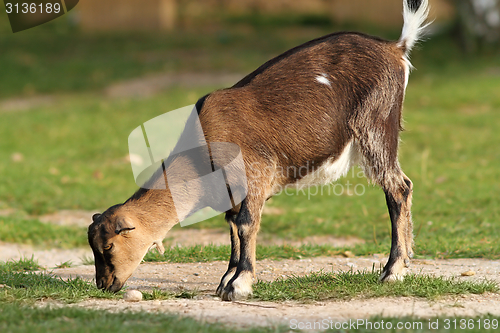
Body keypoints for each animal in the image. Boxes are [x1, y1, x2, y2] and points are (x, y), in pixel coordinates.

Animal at [87, 0, 430, 300]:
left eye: (109, 247)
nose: (104, 284)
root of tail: (396, 47)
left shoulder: (254, 174)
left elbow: (245, 223)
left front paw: (239, 285)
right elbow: (232, 226)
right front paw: (226, 280)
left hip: (375, 128)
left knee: (398, 187)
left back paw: (393, 271)